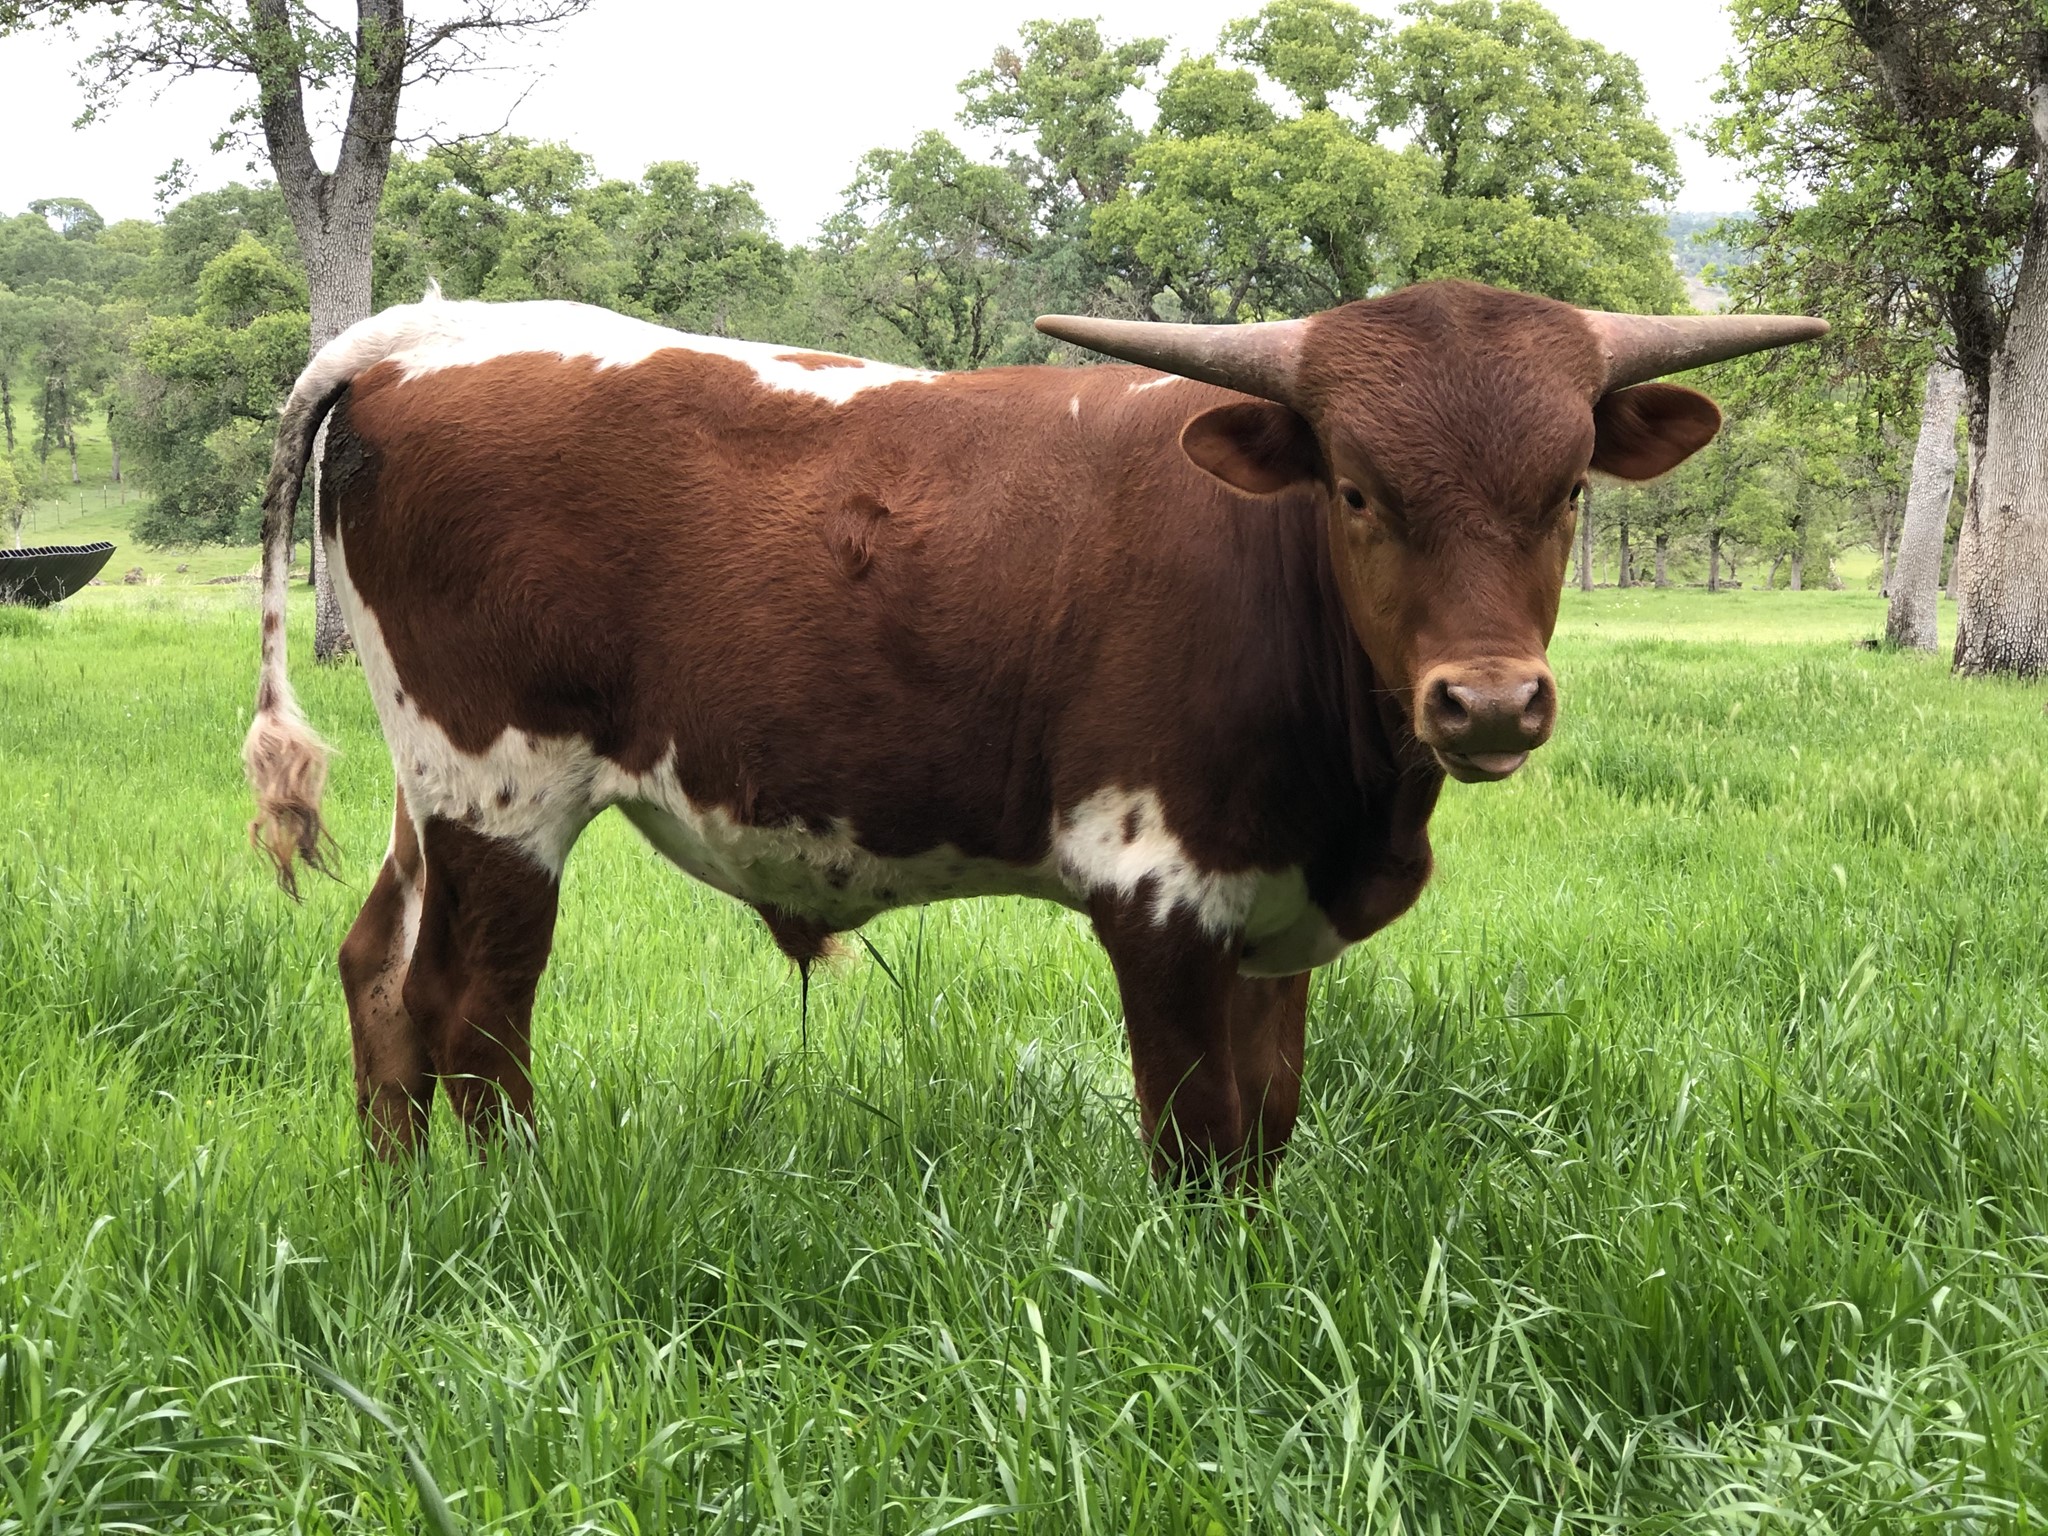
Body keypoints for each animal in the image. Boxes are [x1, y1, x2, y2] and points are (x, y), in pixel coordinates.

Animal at [242, 279, 1823, 1181]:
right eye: (1358, 488)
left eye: (1566, 490)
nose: (1488, 701)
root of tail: (424, 330)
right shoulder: (1158, 883)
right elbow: (1197, 1135)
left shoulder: (1275, 907)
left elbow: (1269, 1121)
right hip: (502, 786)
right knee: (471, 1009)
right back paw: (512, 1216)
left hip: (427, 785)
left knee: (378, 972)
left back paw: (403, 1205)